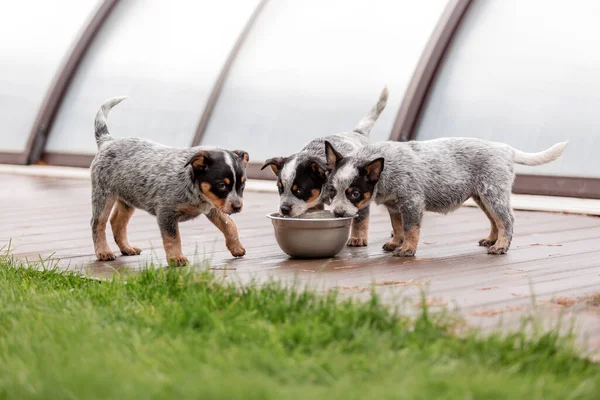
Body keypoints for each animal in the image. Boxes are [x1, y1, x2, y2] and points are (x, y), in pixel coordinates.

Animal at [89, 96, 248, 266]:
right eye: (221, 185)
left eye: (242, 185)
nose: (237, 207)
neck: (193, 187)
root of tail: (108, 141)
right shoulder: (166, 213)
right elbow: (173, 238)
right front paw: (176, 258)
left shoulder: (214, 207)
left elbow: (230, 225)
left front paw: (236, 246)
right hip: (103, 196)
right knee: (98, 223)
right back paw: (103, 251)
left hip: (127, 198)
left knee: (117, 222)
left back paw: (127, 248)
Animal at [262, 87, 390, 247]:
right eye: (280, 189)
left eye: (299, 190)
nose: (284, 210)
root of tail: (357, 132)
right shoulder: (316, 203)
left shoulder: (361, 197)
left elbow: (361, 219)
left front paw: (357, 238)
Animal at [324, 137, 568, 256]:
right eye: (332, 190)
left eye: (354, 193)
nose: (338, 213)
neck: (387, 169)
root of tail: (506, 149)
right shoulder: (395, 205)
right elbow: (398, 227)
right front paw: (396, 243)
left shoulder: (412, 202)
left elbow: (411, 229)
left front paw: (407, 249)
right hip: (483, 197)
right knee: (494, 220)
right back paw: (491, 239)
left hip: (493, 194)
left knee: (506, 220)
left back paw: (500, 246)